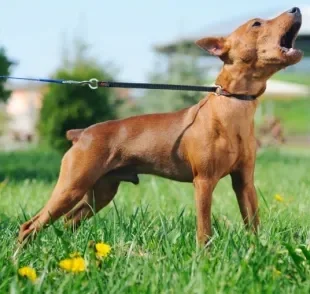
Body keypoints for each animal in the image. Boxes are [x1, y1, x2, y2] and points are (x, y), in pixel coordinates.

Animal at [17, 6, 302, 246]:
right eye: (256, 23)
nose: (296, 8)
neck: (233, 105)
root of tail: (81, 134)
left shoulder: (244, 182)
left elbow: (252, 223)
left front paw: (258, 251)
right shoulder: (204, 181)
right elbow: (204, 229)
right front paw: (204, 258)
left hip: (100, 192)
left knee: (68, 222)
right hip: (72, 186)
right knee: (30, 225)